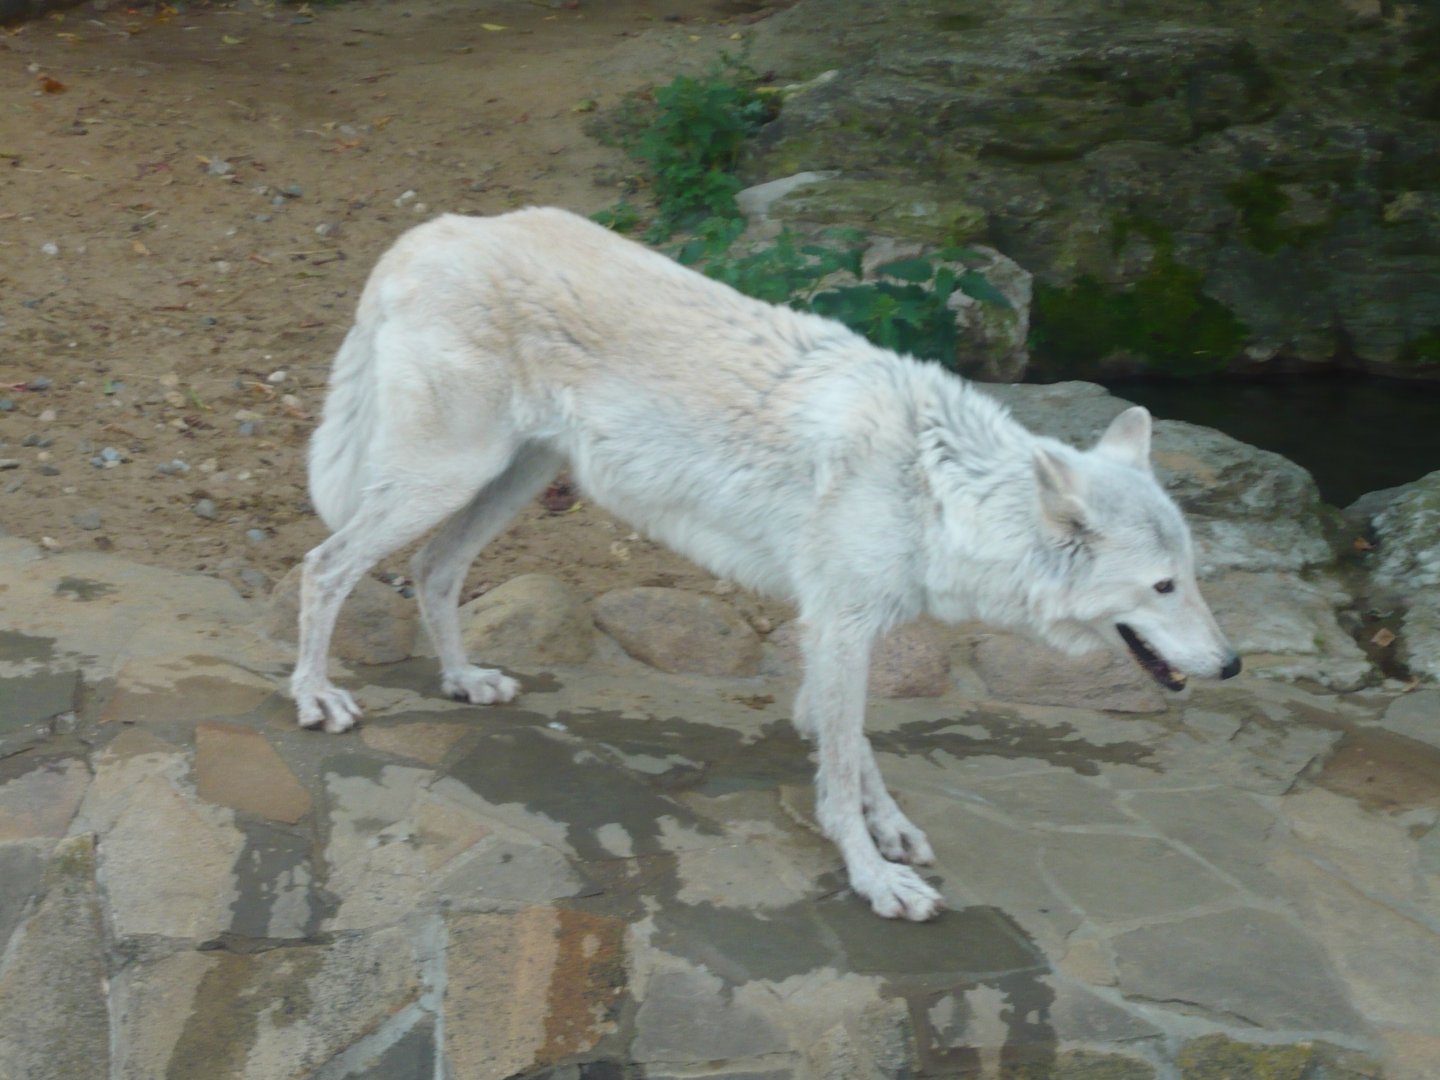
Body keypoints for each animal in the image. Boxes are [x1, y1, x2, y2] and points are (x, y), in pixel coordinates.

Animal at [291, 207, 1241, 921]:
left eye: (1193, 575)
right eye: (1163, 587)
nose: (1233, 664)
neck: (938, 485)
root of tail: (432, 231)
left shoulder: (834, 631)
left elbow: (851, 746)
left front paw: (890, 832)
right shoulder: (841, 628)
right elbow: (843, 765)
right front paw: (875, 878)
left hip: (505, 480)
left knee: (435, 569)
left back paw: (463, 682)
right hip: (442, 478)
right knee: (323, 566)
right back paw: (317, 698)